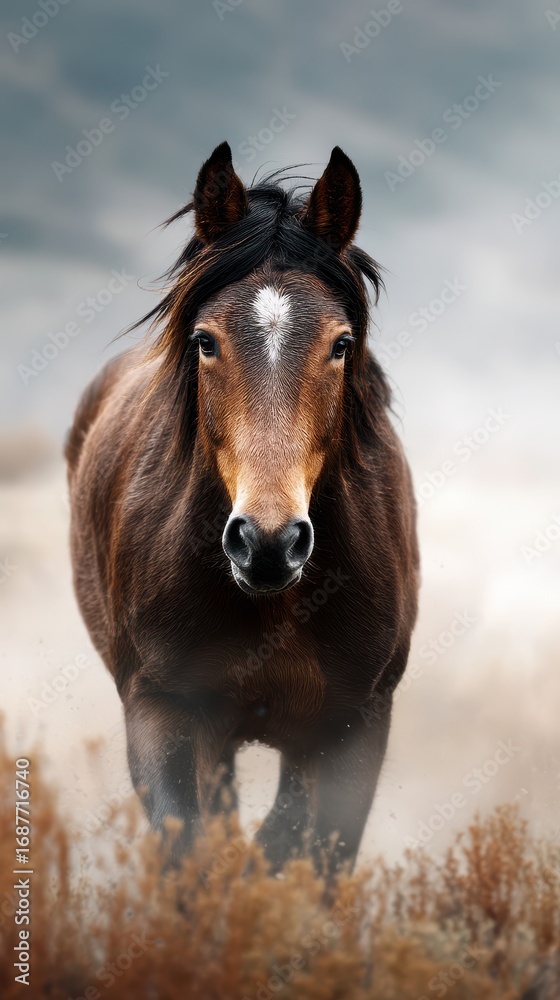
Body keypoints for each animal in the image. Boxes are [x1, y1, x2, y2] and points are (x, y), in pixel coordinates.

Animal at [66, 142, 419, 875]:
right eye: (205, 340)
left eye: (341, 344)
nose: (268, 542)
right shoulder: (161, 711)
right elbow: (193, 858)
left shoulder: (356, 727)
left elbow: (311, 854)